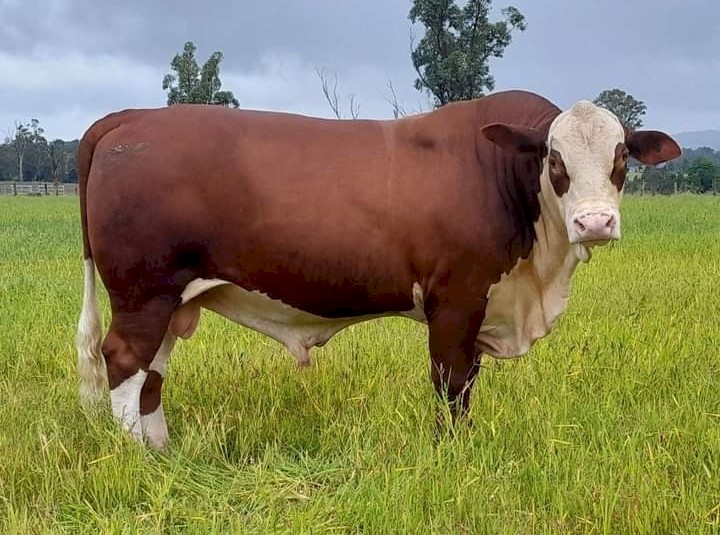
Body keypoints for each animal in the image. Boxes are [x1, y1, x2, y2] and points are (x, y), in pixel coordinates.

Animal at [75, 90, 680, 450]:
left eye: (621, 157)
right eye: (555, 159)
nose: (595, 221)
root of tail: (132, 116)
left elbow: (468, 380)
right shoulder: (456, 299)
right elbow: (451, 382)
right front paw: (452, 453)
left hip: (170, 299)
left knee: (152, 373)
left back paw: (163, 452)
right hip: (143, 292)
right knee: (124, 361)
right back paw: (137, 457)